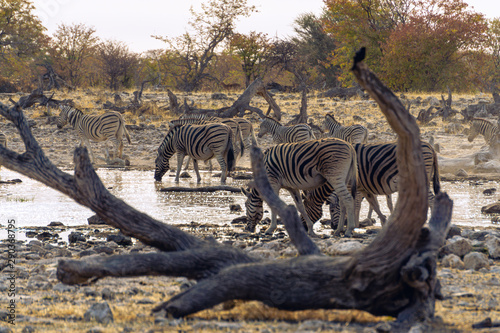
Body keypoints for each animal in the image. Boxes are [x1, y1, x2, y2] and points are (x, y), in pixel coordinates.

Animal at [300, 140, 438, 228]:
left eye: (332, 210)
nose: (333, 227)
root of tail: (430, 146)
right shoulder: (365, 188)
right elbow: (372, 205)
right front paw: (379, 221)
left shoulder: (354, 186)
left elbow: (355, 204)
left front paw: (355, 225)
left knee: (431, 200)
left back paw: (431, 222)